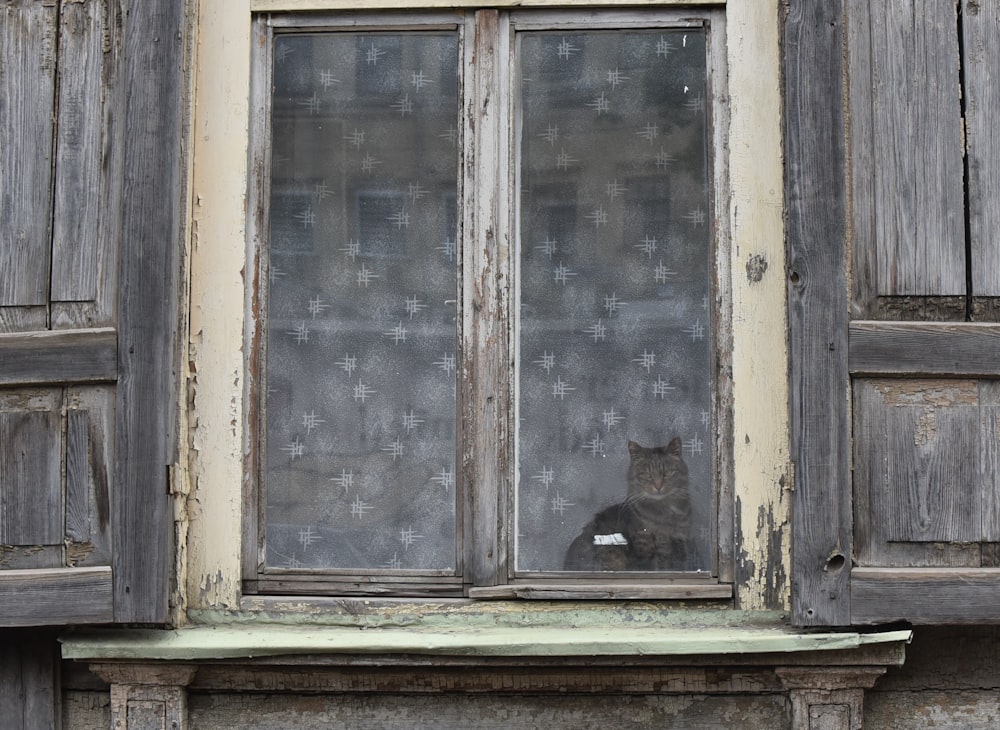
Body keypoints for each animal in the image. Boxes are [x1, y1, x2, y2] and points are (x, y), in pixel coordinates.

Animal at [568, 436, 692, 572]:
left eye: (668, 472)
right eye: (647, 475)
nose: (658, 486)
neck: (663, 512)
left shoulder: (680, 542)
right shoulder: (643, 545)